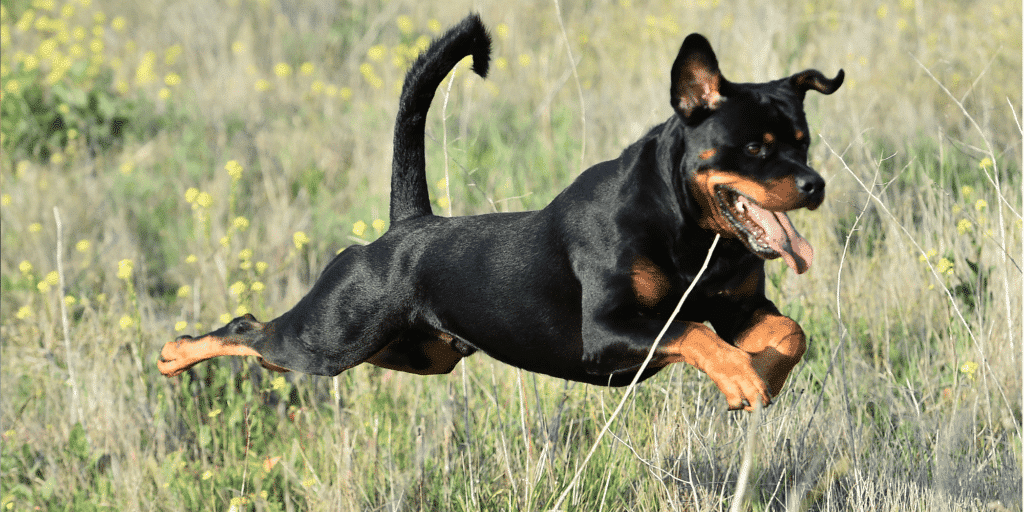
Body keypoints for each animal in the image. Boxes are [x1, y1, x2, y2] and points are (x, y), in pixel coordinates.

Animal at [159, 12, 843, 411]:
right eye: (754, 147)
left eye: (804, 141)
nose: (814, 185)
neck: (690, 231)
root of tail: (405, 227)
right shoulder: (609, 333)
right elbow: (694, 333)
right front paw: (743, 378)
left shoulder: (741, 309)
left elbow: (790, 332)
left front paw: (762, 376)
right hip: (331, 337)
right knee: (249, 329)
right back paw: (174, 353)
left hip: (415, 352)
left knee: (269, 343)